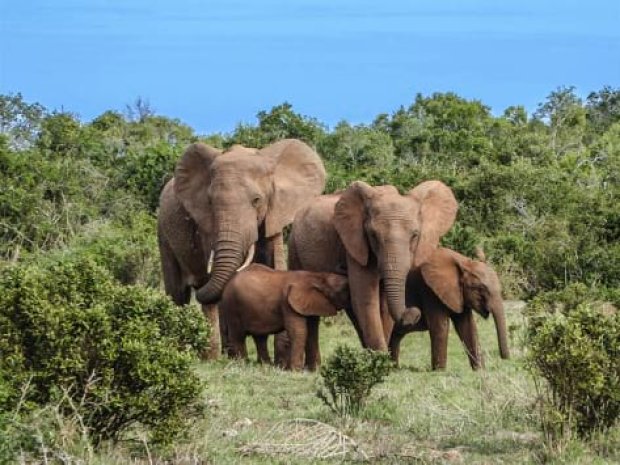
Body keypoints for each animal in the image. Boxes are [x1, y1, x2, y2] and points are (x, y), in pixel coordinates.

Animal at [157, 140, 326, 358]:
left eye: (257, 200)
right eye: (210, 202)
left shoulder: (274, 213)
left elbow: (276, 263)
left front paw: (281, 358)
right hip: (163, 232)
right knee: (178, 294)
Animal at [220, 264, 352, 370]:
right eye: (344, 289)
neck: (317, 277)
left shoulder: (310, 304)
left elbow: (312, 332)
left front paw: (314, 370)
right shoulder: (288, 303)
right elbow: (299, 331)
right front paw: (296, 371)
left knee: (260, 338)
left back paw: (266, 366)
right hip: (232, 306)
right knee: (238, 336)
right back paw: (243, 365)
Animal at [288, 180, 458, 352]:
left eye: (415, 235)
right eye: (373, 235)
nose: (414, 312)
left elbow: (383, 305)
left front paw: (381, 356)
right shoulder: (356, 244)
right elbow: (366, 298)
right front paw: (381, 356)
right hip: (294, 247)